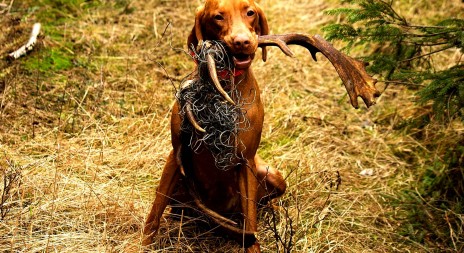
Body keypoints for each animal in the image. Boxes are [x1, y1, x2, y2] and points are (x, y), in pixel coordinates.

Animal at [142, 0, 286, 252]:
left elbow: (251, 221)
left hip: (273, 175)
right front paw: (140, 245)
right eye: (218, 17)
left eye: (250, 12)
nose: (242, 41)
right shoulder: (176, 153)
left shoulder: (246, 161)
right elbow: (155, 210)